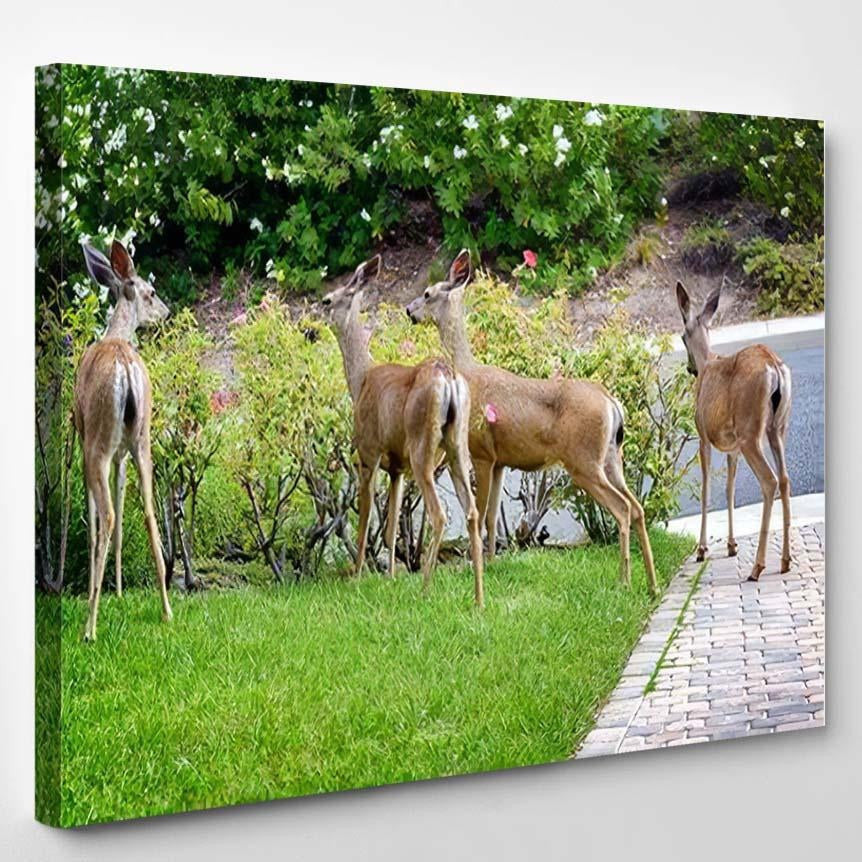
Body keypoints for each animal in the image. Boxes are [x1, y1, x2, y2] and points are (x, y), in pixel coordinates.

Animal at [321, 255, 485, 607]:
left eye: (327, 301)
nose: (308, 327)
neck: (360, 380)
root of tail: (448, 375)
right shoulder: (395, 467)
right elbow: (392, 525)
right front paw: (391, 577)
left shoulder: (368, 453)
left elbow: (365, 523)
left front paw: (357, 578)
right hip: (457, 447)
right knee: (472, 512)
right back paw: (479, 600)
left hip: (422, 446)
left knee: (439, 515)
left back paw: (425, 590)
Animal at [406, 251, 657, 595]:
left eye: (428, 294)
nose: (408, 310)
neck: (467, 372)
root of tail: (611, 403)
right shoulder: (499, 460)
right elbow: (490, 517)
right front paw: (493, 564)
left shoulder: (481, 452)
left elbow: (481, 514)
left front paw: (477, 565)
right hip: (610, 456)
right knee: (638, 507)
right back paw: (652, 583)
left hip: (583, 460)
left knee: (623, 509)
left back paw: (624, 581)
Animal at [675, 281, 792, 581]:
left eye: (681, 336)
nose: (690, 368)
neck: (708, 362)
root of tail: (773, 365)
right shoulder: (732, 447)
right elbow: (729, 489)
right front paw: (731, 545)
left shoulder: (704, 435)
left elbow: (706, 488)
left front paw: (702, 549)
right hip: (777, 428)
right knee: (785, 479)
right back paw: (785, 561)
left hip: (751, 431)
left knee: (770, 480)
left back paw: (758, 567)